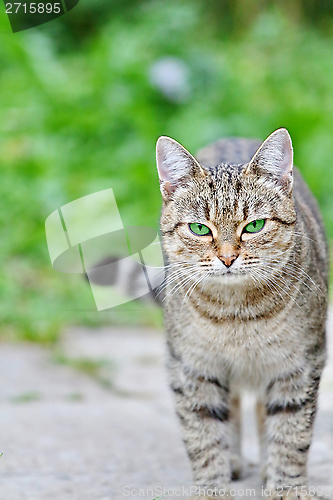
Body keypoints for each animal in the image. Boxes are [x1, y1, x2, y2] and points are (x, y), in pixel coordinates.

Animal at [156, 127, 326, 498]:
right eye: (200, 229)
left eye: (255, 225)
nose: (227, 258)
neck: (237, 314)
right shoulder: (191, 365)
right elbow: (203, 434)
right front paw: (212, 489)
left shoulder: (300, 363)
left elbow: (291, 433)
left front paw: (286, 487)